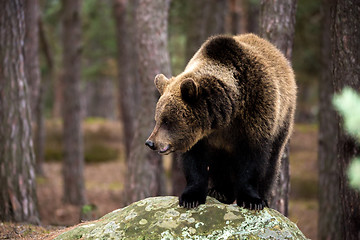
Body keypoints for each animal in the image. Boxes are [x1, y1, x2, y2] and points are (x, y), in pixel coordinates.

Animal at [145, 33, 296, 210]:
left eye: (167, 121)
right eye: (157, 119)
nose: (151, 142)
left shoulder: (256, 112)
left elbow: (253, 159)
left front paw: (251, 200)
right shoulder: (202, 137)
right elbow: (194, 162)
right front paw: (191, 197)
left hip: (283, 119)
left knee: (273, 160)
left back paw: (263, 196)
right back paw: (220, 191)